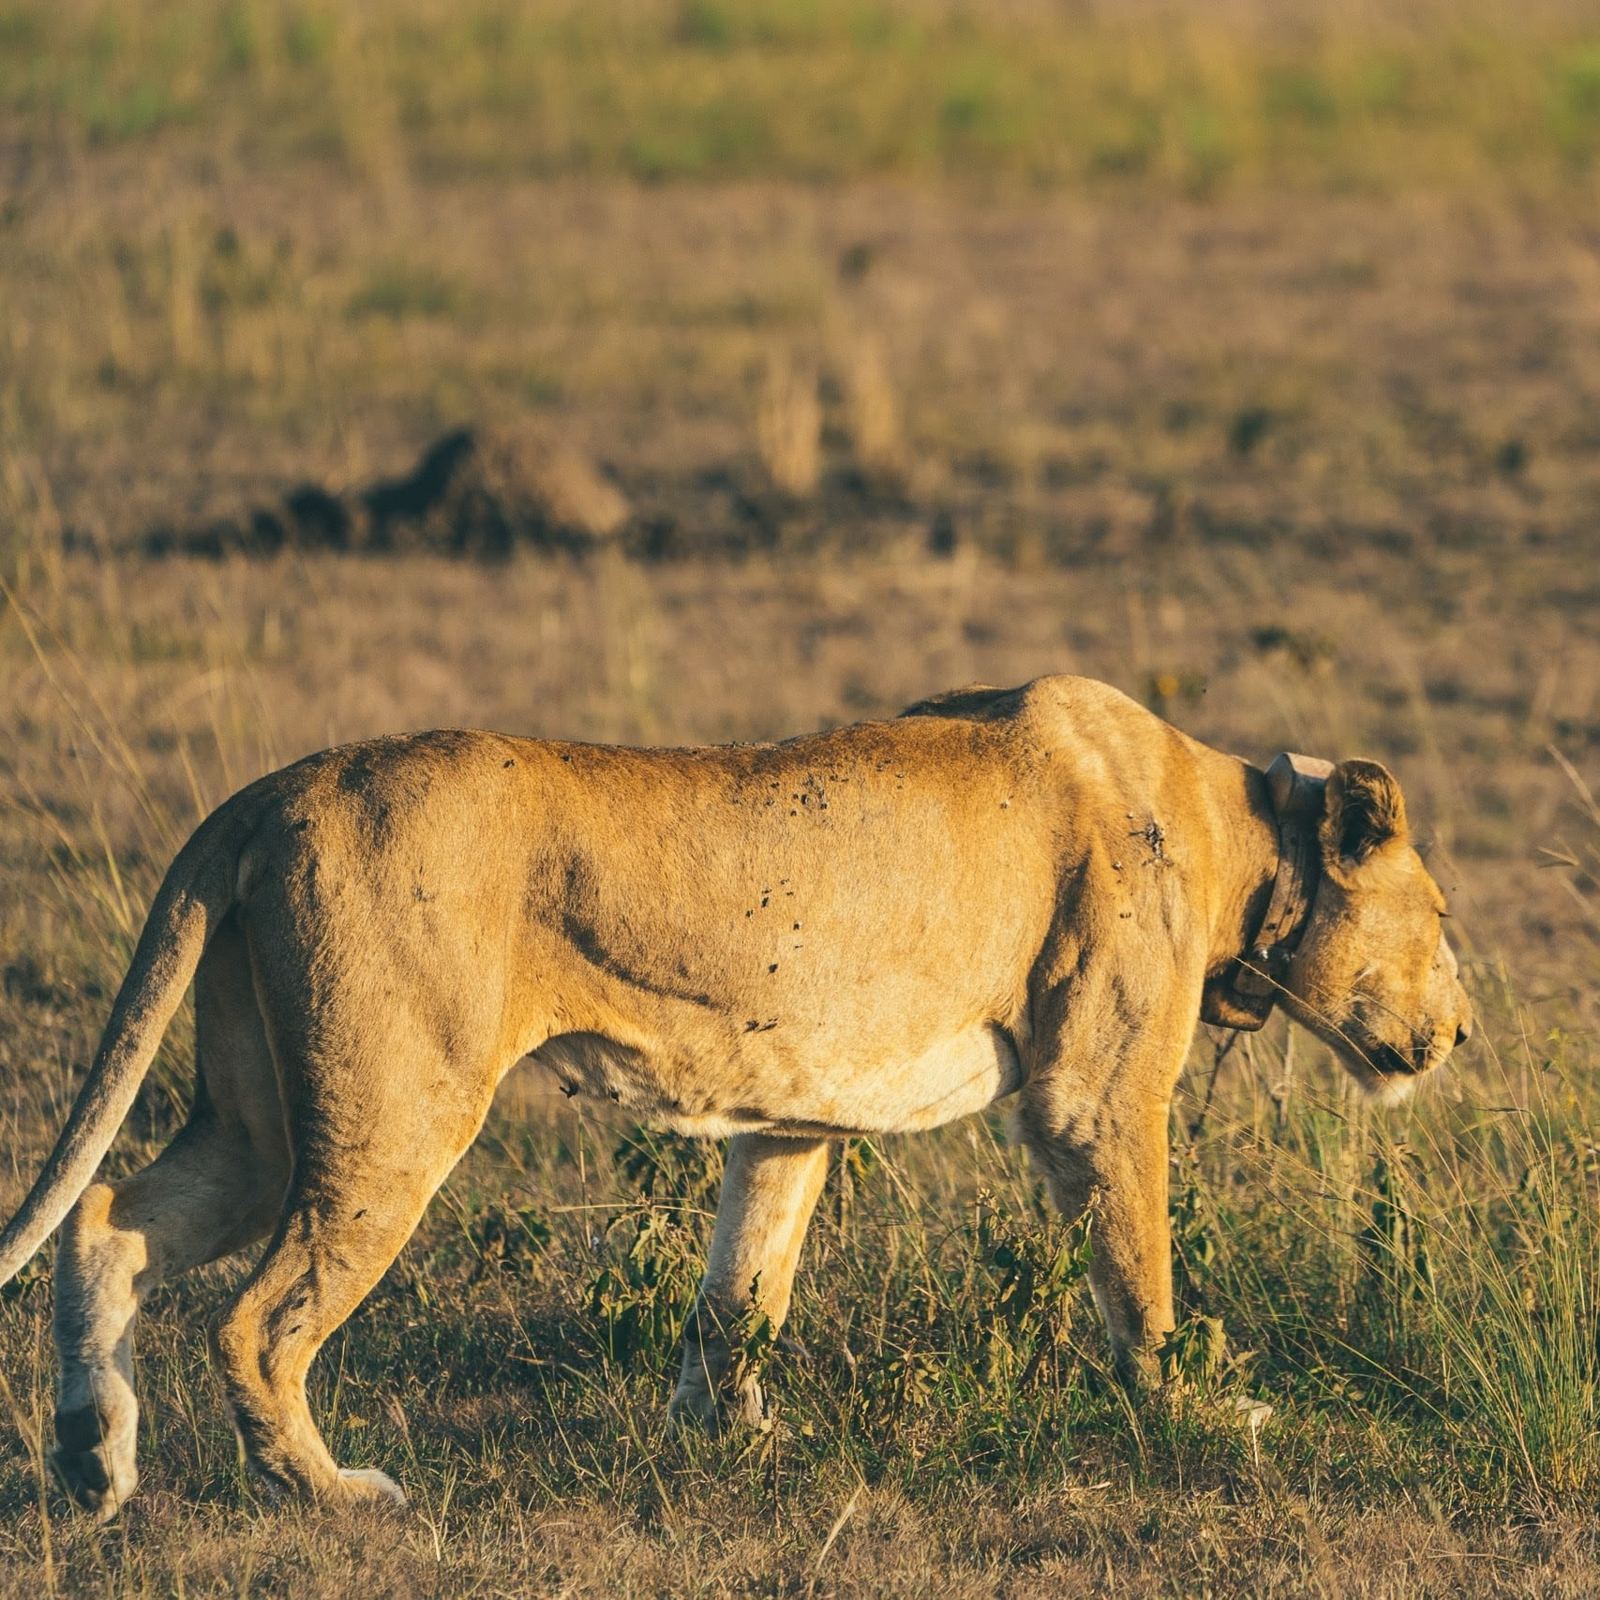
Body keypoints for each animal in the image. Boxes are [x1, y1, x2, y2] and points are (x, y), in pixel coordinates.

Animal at [0, 674, 1471, 1517]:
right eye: (1445, 917)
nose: (1459, 1028)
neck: (1239, 833)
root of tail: (266, 790)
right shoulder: (1093, 1095)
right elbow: (1142, 1273)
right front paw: (1202, 1416)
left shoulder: (790, 1116)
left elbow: (741, 1291)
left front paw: (730, 1440)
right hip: (395, 1112)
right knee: (256, 1321)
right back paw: (332, 1497)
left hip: (258, 1114)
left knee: (109, 1222)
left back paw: (90, 1466)